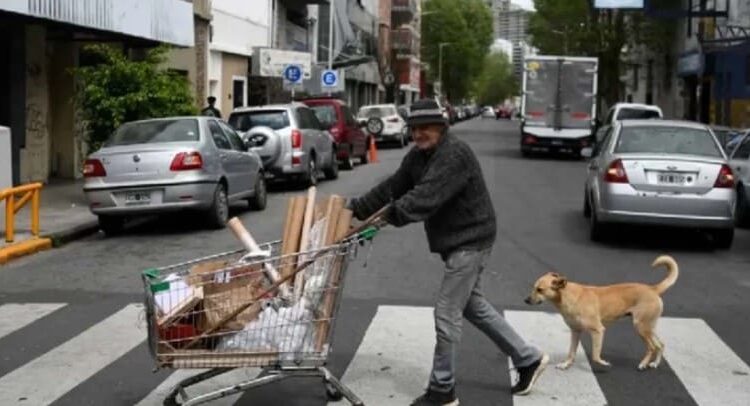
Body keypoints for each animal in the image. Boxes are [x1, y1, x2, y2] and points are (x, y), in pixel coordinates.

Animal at [524, 256, 680, 372]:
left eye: (540, 289)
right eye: (534, 287)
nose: (526, 300)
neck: (569, 296)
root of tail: (653, 289)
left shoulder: (598, 331)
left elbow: (595, 355)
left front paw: (603, 363)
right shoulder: (575, 331)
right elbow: (571, 352)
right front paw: (566, 364)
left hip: (641, 327)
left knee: (652, 347)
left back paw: (643, 364)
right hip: (648, 327)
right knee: (660, 344)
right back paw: (654, 363)